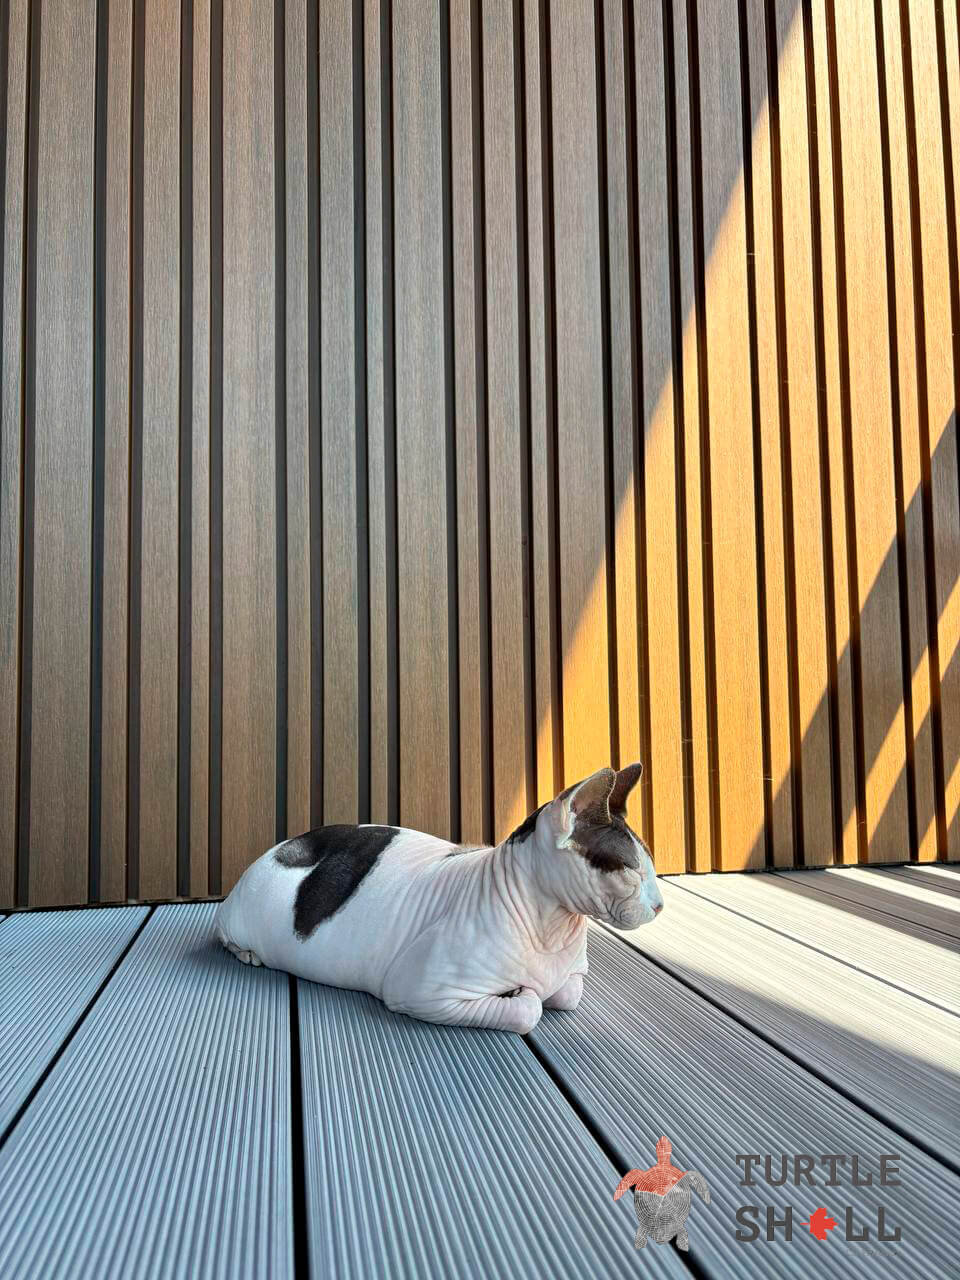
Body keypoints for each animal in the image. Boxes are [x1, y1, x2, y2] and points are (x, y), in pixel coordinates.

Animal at [214, 762, 662, 1033]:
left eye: (651, 864)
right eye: (630, 869)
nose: (659, 905)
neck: (554, 929)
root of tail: (284, 843)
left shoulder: (570, 978)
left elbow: (566, 994)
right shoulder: (420, 990)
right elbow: (530, 1008)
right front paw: (522, 992)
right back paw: (247, 953)